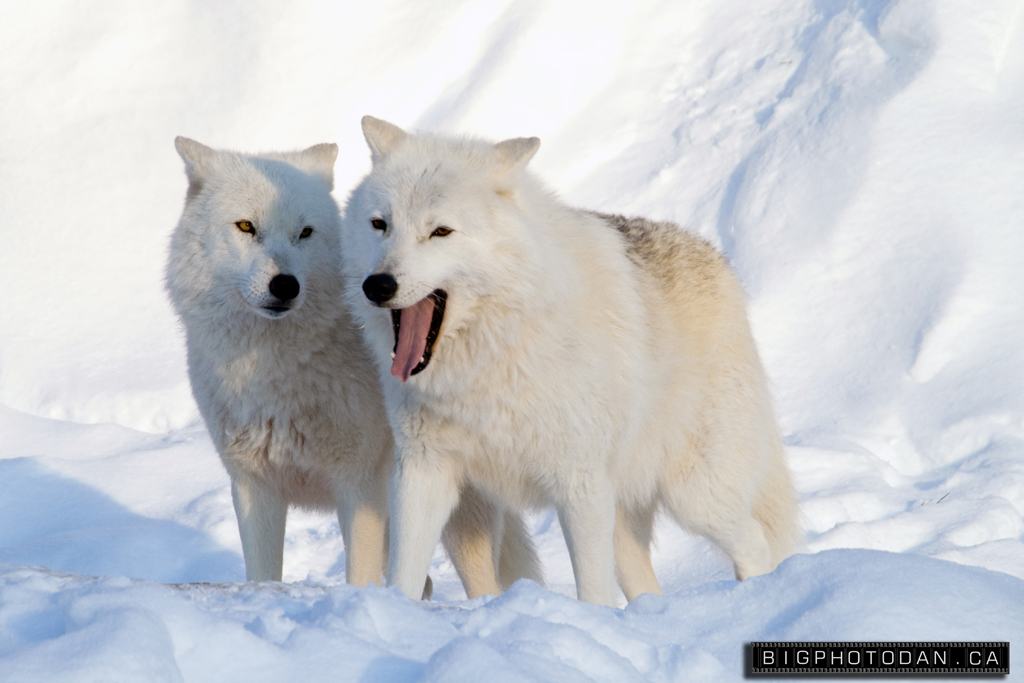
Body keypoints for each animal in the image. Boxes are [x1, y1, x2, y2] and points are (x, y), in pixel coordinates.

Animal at [163, 136, 540, 593]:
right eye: (246, 227)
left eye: (305, 232)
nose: (285, 285)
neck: (275, 371)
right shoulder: (254, 488)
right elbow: (263, 577)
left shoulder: (359, 489)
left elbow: (359, 578)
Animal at [339, 116, 802, 602]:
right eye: (380, 224)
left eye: (440, 232)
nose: (378, 285)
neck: (491, 362)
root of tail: (718, 260)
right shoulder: (422, 473)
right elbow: (404, 575)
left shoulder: (579, 484)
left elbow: (593, 592)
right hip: (626, 523)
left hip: (694, 495)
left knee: (755, 540)